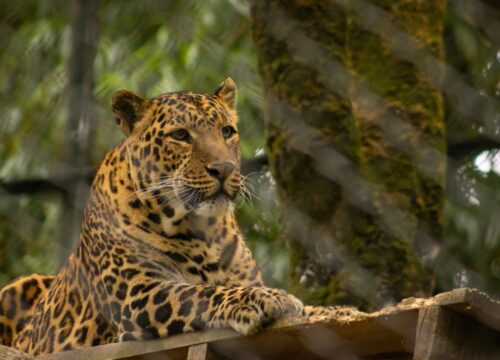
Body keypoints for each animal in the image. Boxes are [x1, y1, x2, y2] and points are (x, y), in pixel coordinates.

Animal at [0, 77, 364, 356]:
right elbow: (197, 294)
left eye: (227, 131)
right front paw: (264, 298)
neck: (200, 229)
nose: (224, 169)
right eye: (180, 136)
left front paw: (336, 312)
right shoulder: (139, 294)